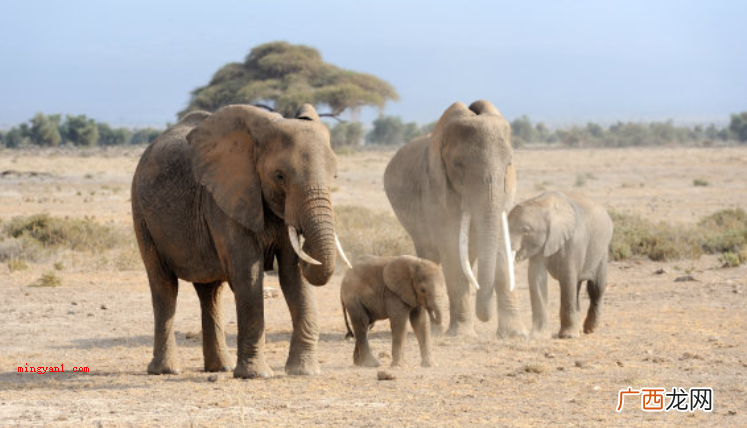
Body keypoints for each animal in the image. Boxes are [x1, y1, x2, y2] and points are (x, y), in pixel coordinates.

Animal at [131, 103, 349, 379]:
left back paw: (219, 367)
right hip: (141, 213)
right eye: (279, 176)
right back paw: (166, 370)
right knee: (164, 286)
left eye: (335, 176)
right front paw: (255, 375)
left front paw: (304, 371)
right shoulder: (225, 198)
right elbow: (248, 273)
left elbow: (293, 275)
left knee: (210, 292)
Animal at [384, 100, 522, 338]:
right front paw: (462, 335)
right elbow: (451, 250)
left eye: (509, 164)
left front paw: (515, 334)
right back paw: (435, 330)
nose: (485, 317)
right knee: (430, 255)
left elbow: (503, 248)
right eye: (458, 164)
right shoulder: (435, 189)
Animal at [507, 191, 613, 339]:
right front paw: (538, 336)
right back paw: (579, 329)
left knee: (595, 288)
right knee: (576, 287)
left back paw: (589, 329)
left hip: (602, 250)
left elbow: (567, 278)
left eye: (526, 230)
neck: (545, 205)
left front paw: (568, 336)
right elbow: (536, 277)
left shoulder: (573, 241)